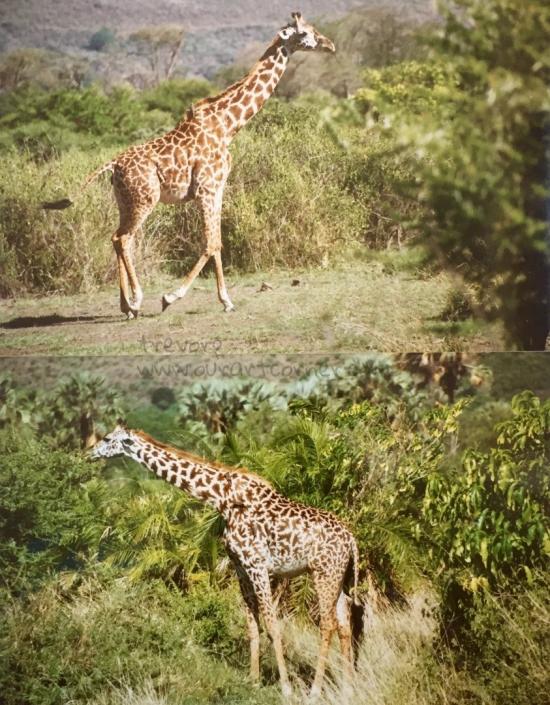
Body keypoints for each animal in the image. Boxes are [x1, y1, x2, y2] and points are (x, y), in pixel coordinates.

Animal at [43, 13, 336, 320]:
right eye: (305, 33)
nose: (330, 45)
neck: (228, 126)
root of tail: (113, 164)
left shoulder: (218, 188)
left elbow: (217, 242)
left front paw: (226, 300)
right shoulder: (206, 189)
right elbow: (209, 243)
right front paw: (170, 297)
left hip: (125, 201)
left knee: (117, 237)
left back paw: (127, 306)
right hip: (145, 199)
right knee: (123, 238)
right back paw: (136, 300)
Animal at [90, 422, 363, 699]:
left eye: (107, 439)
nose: (90, 453)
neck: (221, 498)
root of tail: (352, 539)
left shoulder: (258, 565)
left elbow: (272, 624)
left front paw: (285, 687)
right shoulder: (241, 567)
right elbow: (252, 625)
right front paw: (253, 681)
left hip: (323, 572)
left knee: (328, 624)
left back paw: (316, 691)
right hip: (339, 577)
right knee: (344, 625)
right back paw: (348, 687)